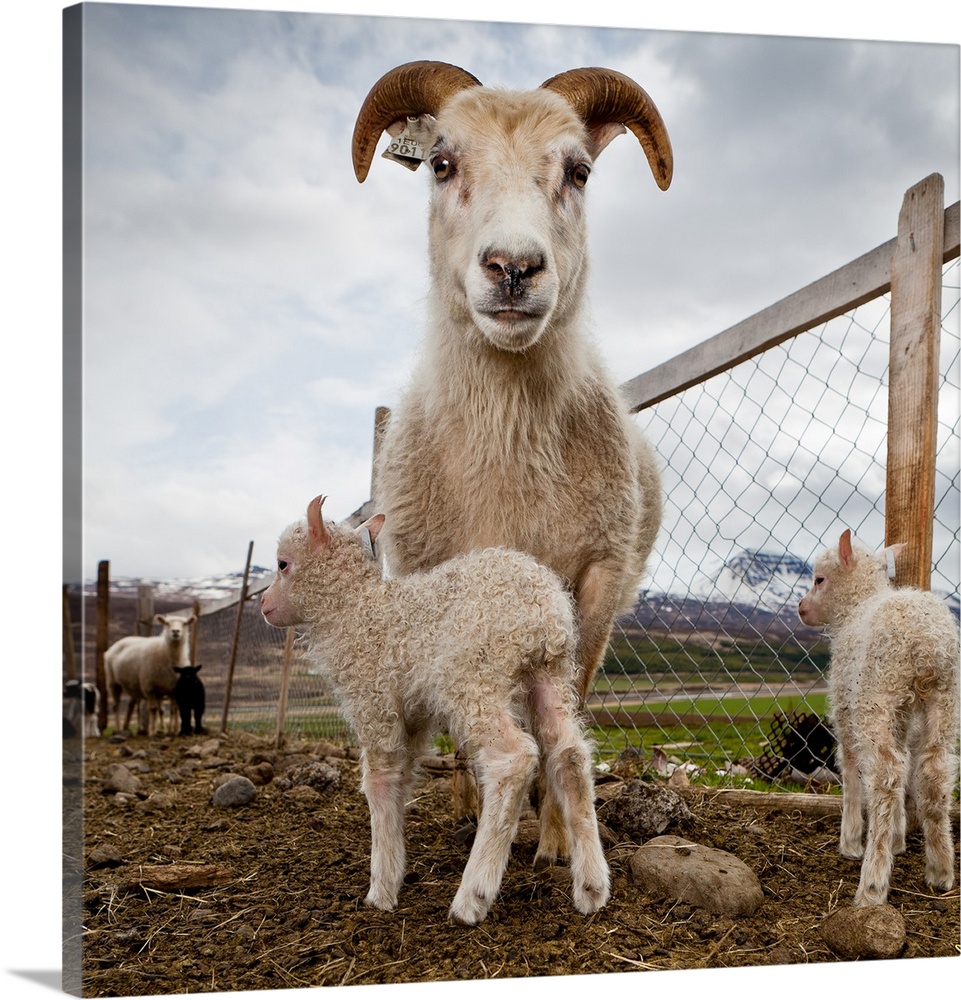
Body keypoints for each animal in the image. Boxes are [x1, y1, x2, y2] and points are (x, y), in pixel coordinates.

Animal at [104, 608, 196, 736]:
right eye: (166, 623)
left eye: (185, 623)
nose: (175, 631)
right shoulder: (149, 687)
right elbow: (153, 709)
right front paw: (152, 731)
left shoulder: (173, 688)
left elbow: (173, 709)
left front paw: (173, 730)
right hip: (113, 682)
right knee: (116, 706)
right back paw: (118, 728)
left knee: (132, 705)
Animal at [260, 496, 608, 924]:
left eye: (283, 564)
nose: (263, 604)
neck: (357, 611)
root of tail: (540, 606)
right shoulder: (409, 717)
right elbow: (400, 780)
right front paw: (395, 870)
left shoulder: (373, 699)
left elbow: (378, 782)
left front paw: (381, 890)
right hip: (550, 674)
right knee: (570, 754)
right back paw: (591, 887)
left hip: (474, 673)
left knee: (513, 758)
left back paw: (472, 896)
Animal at [348, 58, 672, 856]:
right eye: (441, 163)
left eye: (579, 171)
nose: (514, 267)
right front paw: (482, 805)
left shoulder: (595, 580)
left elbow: (568, 709)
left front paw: (557, 837)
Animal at [796, 532, 960, 908]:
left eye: (819, 579)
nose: (801, 609)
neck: (857, 606)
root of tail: (925, 639)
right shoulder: (902, 717)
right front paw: (899, 838)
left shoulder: (845, 707)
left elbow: (849, 766)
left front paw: (851, 840)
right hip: (944, 700)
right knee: (933, 772)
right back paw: (941, 869)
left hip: (877, 693)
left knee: (886, 777)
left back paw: (871, 883)